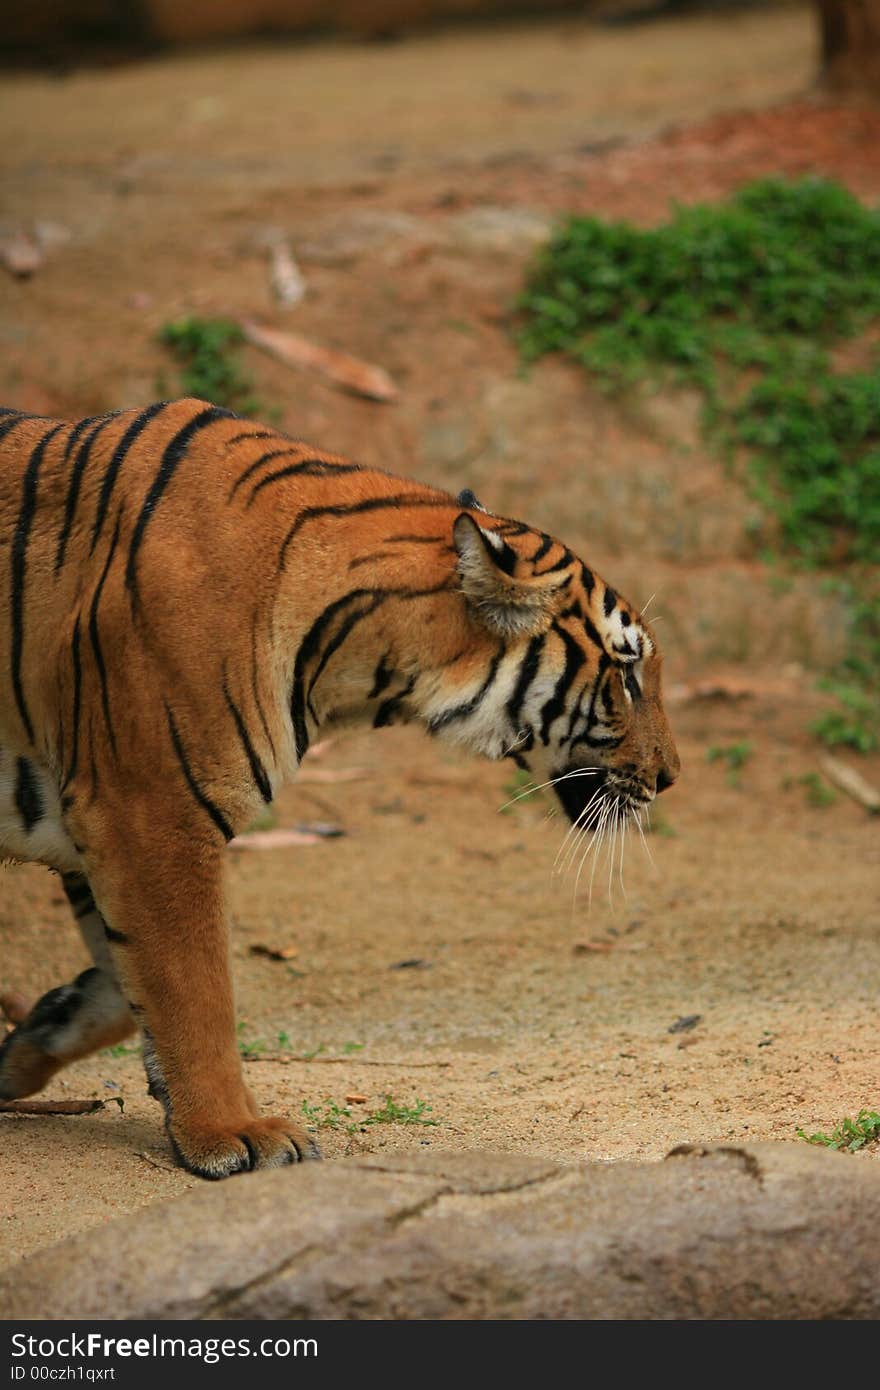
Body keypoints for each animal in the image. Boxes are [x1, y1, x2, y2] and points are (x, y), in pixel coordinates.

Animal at [0, 397, 678, 1178]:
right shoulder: (150, 813)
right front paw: (230, 1132)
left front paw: (32, 1038)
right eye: (627, 672)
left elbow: (126, 981)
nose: (671, 776)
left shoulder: (92, 819)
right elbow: (194, 987)